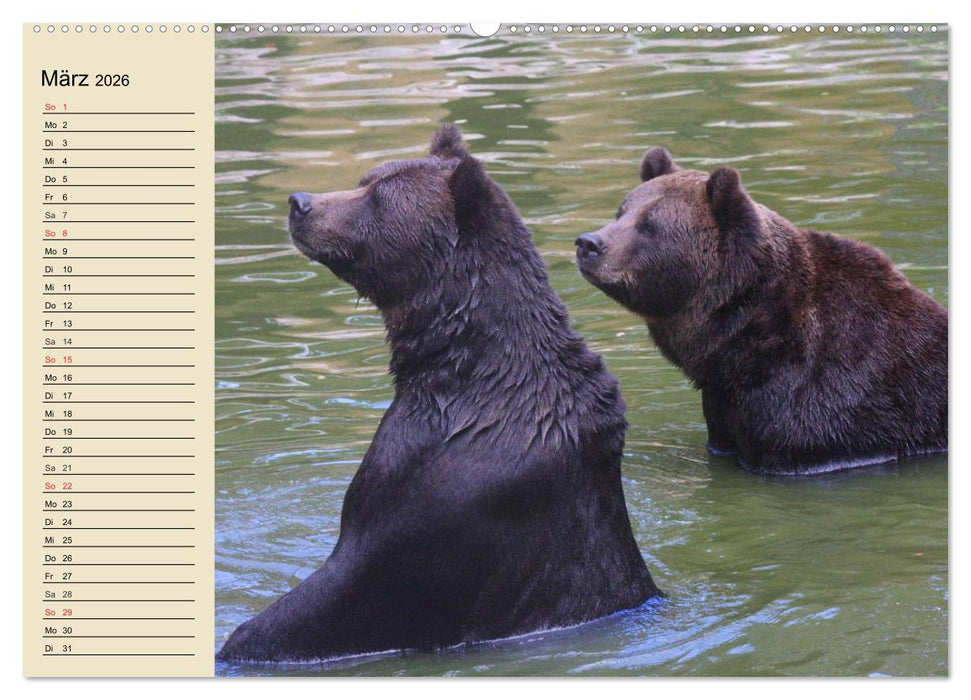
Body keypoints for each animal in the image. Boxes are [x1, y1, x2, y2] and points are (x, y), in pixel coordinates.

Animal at [217, 125, 659, 663]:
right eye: (366, 179)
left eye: (379, 197)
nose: (300, 202)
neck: (463, 365)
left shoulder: (432, 489)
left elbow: (336, 592)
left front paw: (239, 642)